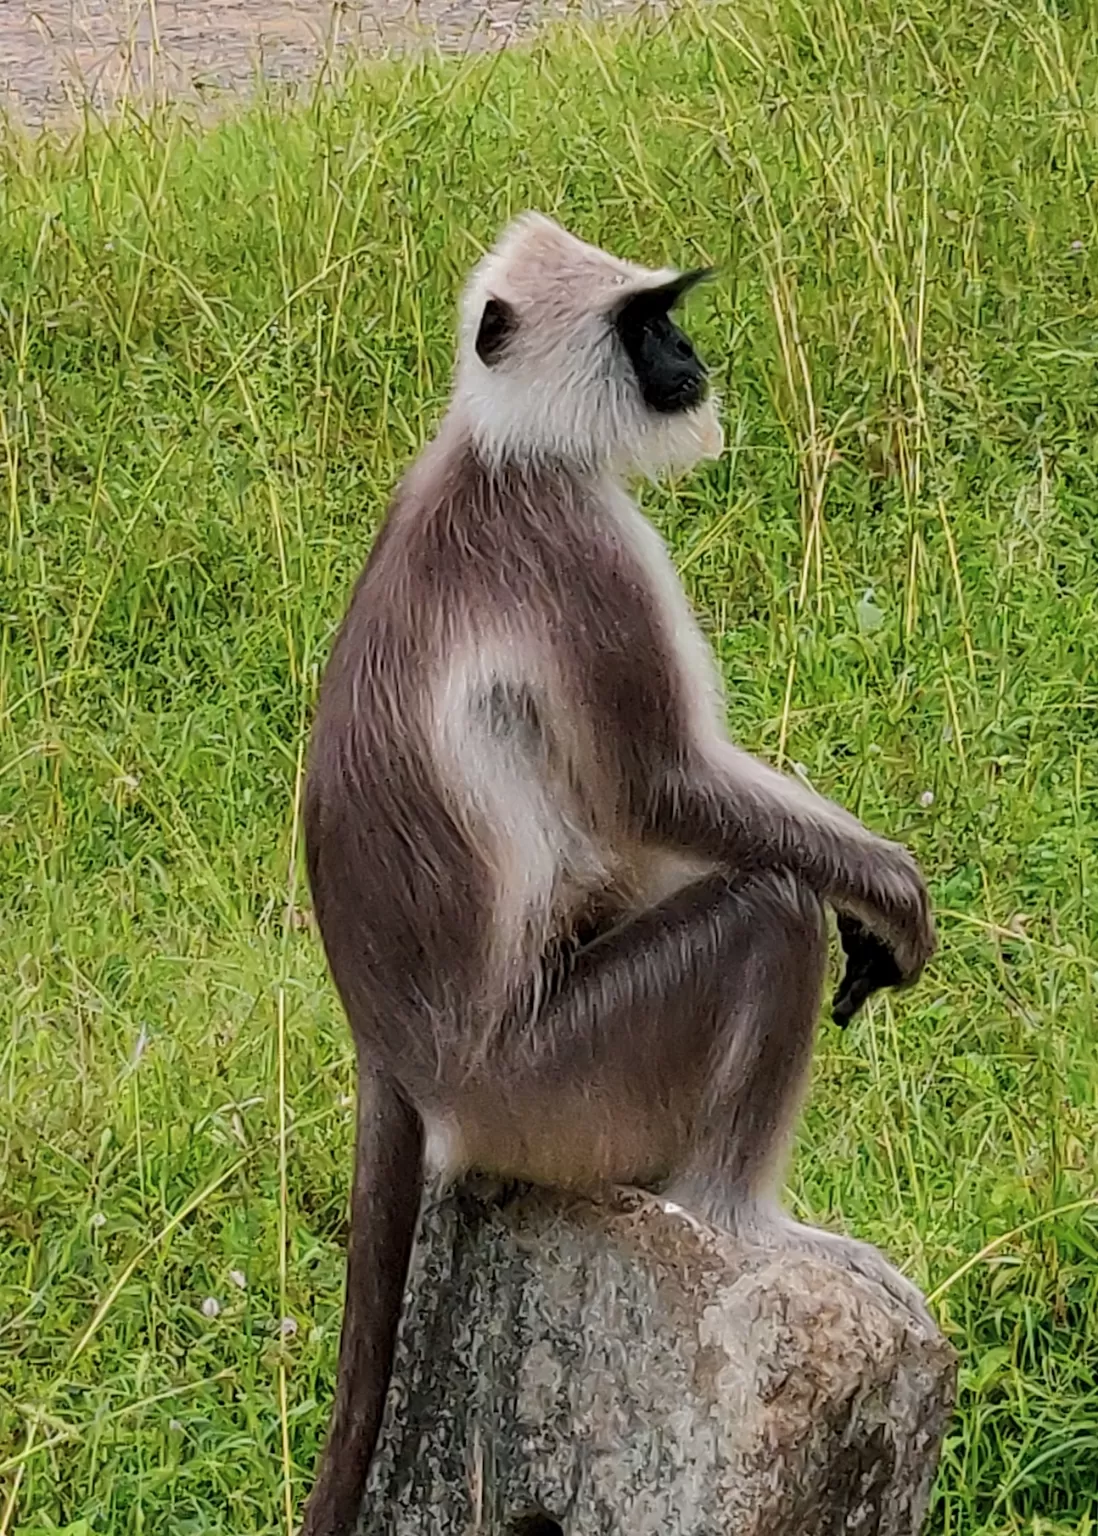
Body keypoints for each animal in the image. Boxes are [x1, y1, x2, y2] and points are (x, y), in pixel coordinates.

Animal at [297, 213, 933, 1536]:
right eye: (646, 324)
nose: (689, 357)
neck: (500, 451)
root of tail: (394, 1054)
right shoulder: (577, 544)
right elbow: (661, 786)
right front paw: (886, 896)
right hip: (548, 1083)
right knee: (763, 909)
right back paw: (744, 1224)